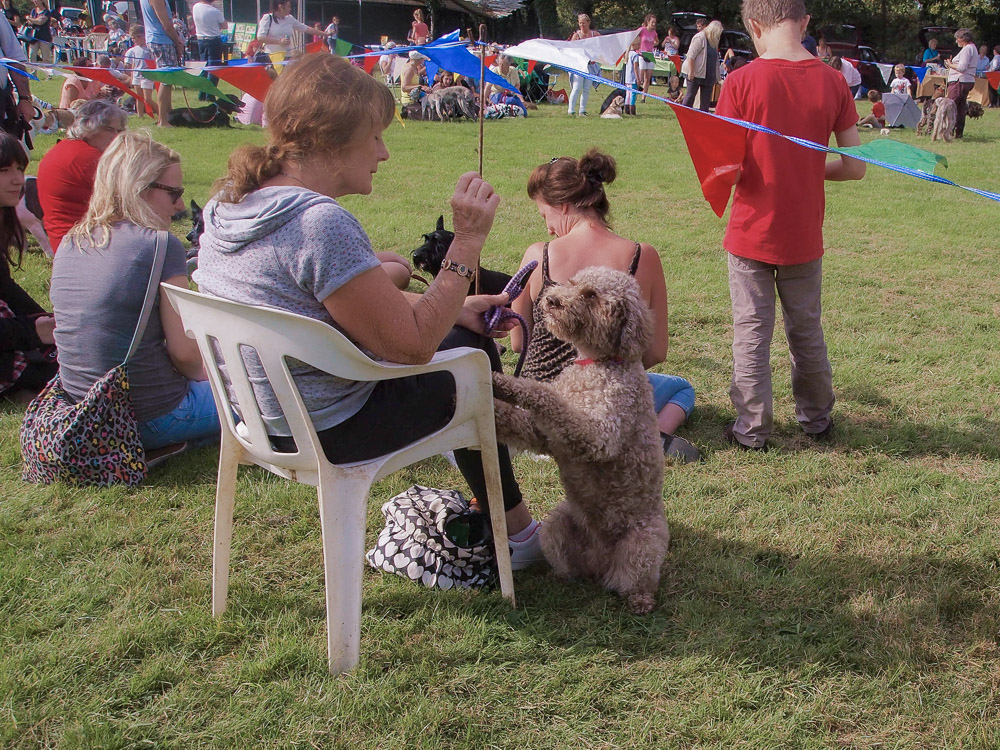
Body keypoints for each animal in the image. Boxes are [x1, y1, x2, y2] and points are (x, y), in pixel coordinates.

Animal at [490, 268, 668, 612]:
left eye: (591, 295)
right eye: (571, 283)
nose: (551, 299)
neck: (594, 364)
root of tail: (601, 563)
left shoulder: (598, 435)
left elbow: (546, 396)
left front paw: (509, 384)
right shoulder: (545, 436)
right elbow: (517, 420)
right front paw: (489, 399)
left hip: (645, 541)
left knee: (634, 577)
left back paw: (639, 600)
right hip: (556, 525)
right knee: (570, 566)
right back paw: (562, 576)